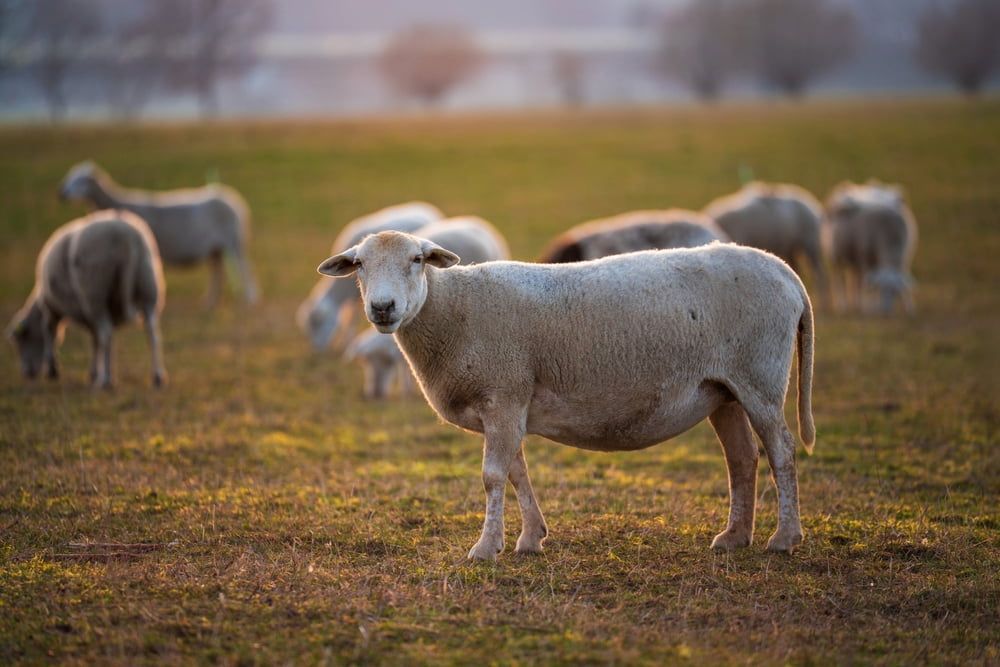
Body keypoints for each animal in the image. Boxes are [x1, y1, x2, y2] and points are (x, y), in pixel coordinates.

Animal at [6, 210, 167, 389]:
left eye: (21, 340)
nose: (26, 373)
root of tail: (127, 239)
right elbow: (96, 340)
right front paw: (96, 371)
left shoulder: (52, 309)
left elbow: (51, 333)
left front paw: (53, 370)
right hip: (147, 287)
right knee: (152, 333)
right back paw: (157, 376)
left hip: (94, 290)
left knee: (106, 332)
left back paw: (105, 381)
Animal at [59, 160, 257, 308]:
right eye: (69, 176)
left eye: (81, 180)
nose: (62, 192)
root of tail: (233, 198)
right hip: (215, 249)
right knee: (218, 273)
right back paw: (209, 301)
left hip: (234, 241)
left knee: (244, 268)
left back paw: (250, 299)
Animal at [317, 231, 816, 560]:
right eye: (359, 265)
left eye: (418, 259)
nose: (382, 307)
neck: (455, 310)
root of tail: (786, 273)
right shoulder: (510, 403)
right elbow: (517, 472)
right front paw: (530, 538)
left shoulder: (503, 393)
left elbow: (493, 477)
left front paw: (485, 548)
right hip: (723, 389)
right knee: (742, 458)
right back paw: (734, 537)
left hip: (761, 376)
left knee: (782, 452)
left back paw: (784, 539)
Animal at [823, 180, 918, 314]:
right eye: (882, 290)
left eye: (896, 293)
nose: (886, 310)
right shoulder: (864, 256)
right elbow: (867, 284)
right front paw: (869, 307)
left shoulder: (906, 256)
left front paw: (909, 307)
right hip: (835, 255)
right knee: (839, 279)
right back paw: (844, 305)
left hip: (854, 257)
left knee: (854, 279)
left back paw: (855, 303)